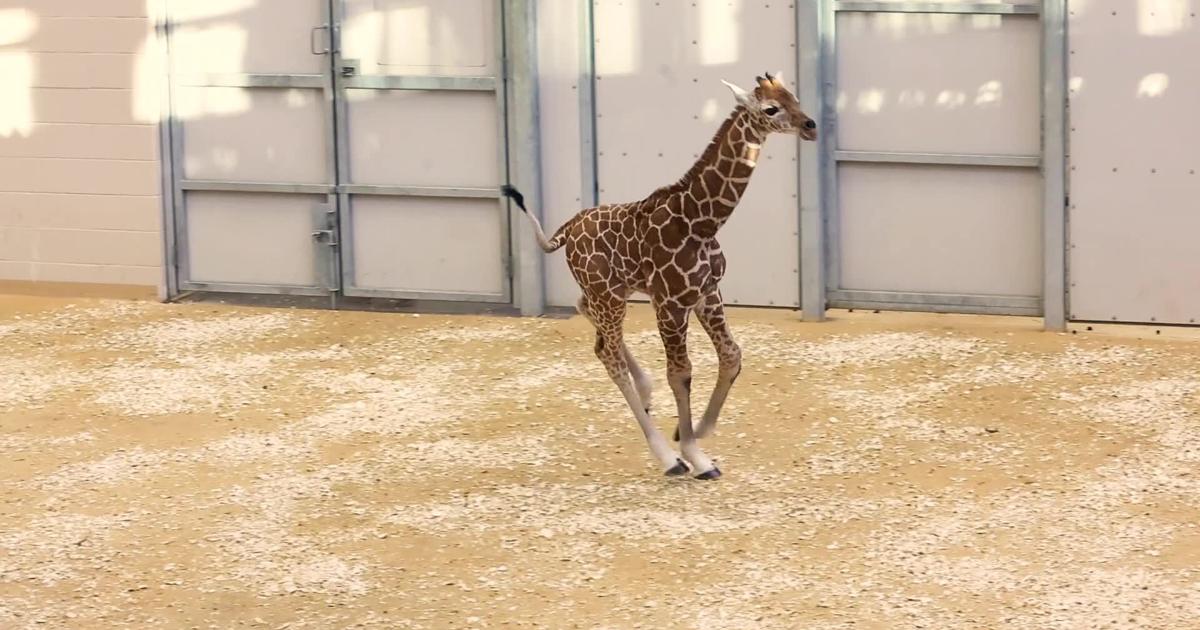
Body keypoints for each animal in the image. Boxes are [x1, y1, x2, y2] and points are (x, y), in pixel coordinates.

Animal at [501, 72, 820, 477]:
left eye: (794, 97)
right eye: (771, 109)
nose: (810, 126)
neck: (700, 223)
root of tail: (566, 230)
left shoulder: (707, 292)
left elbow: (731, 355)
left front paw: (694, 432)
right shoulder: (670, 303)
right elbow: (680, 373)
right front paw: (694, 455)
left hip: (609, 291)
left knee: (591, 326)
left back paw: (646, 392)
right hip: (608, 295)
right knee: (610, 355)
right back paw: (667, 458)